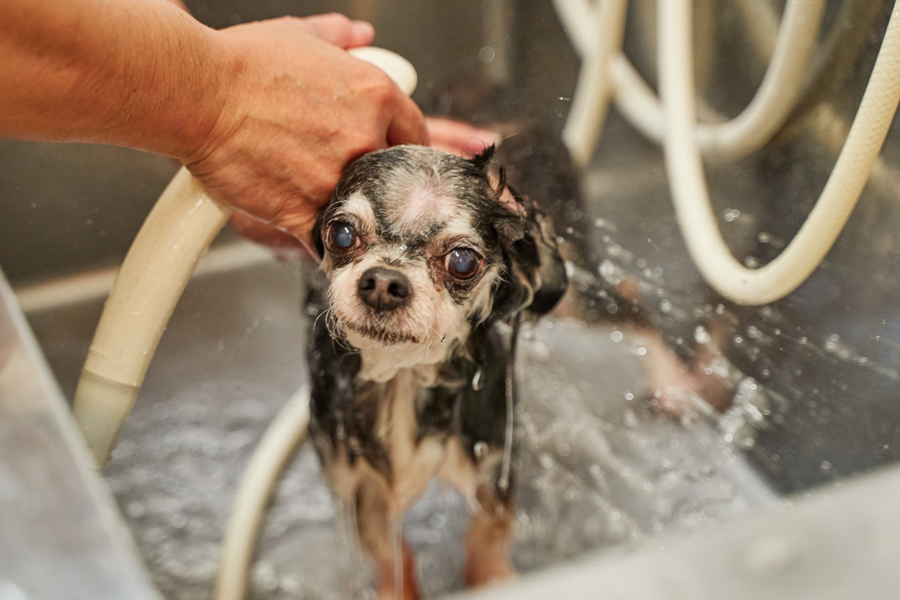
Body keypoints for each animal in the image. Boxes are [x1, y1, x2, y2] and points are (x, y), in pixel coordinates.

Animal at [306, 145, 568, 600]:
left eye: (462, 261)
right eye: (340, 234)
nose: (383, 282)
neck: (404, 375)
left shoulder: (493, 459)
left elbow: (487, 533)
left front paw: (493, 579)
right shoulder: (357, 482)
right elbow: (389, 551)